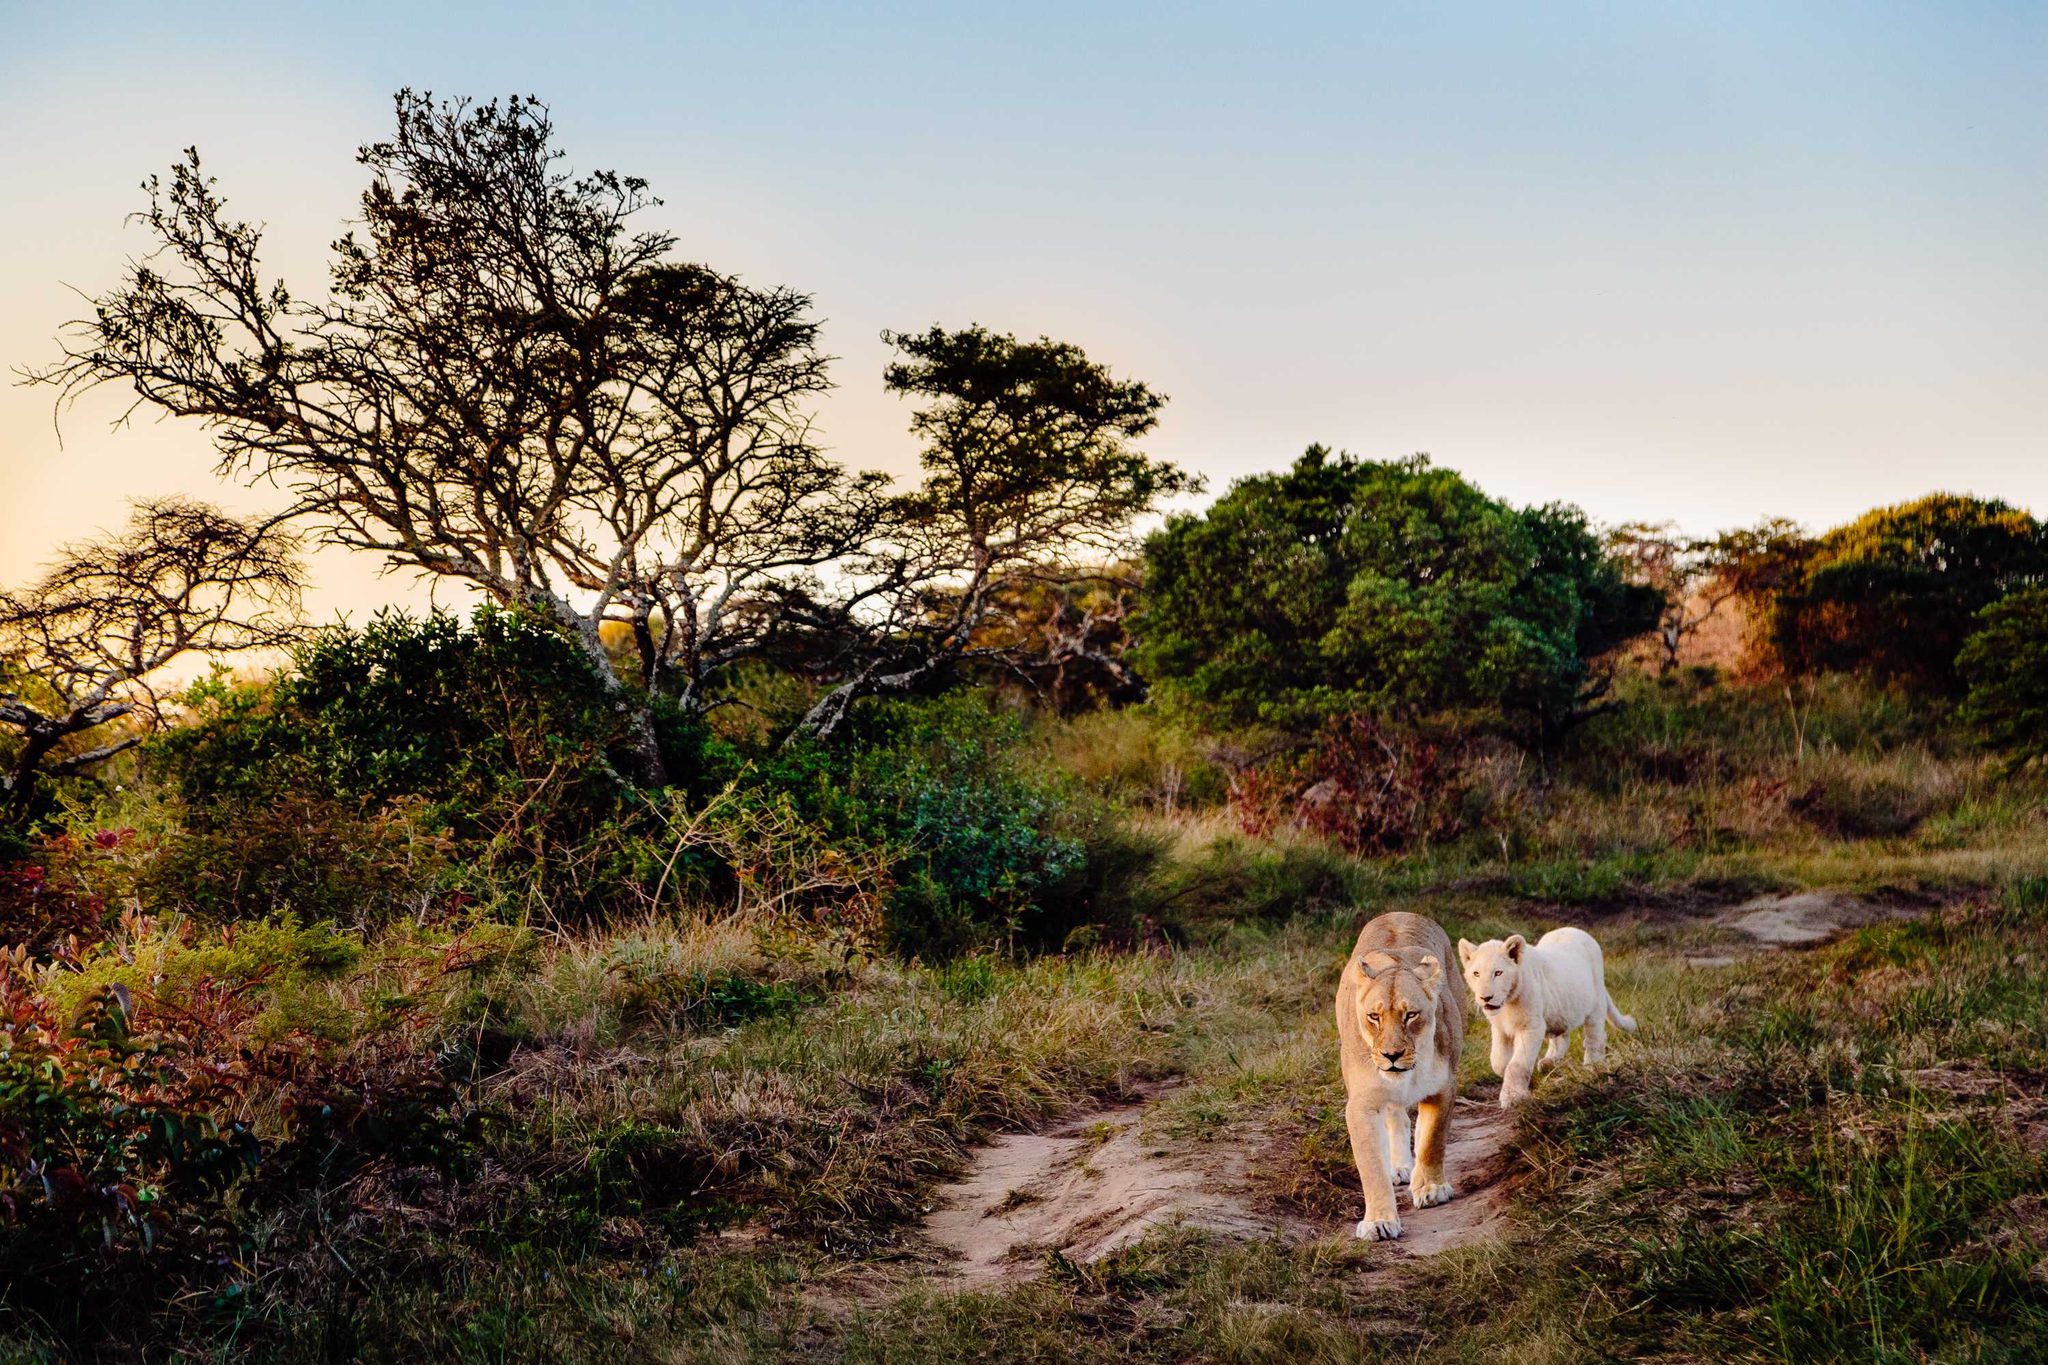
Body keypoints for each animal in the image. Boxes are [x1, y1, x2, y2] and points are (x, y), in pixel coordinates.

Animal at [1334, 910, 1464, 1241]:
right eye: (1374, 1017)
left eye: (1411, 1015)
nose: (1391, 1055)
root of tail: (1400, 913)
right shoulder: (1362, 1104)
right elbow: (1371, 1166)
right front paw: (1379, 1221)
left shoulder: (1443, 1088)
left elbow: (1433, 1140)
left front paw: (1431, 1188)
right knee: (1396, 1116)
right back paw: (1399, 1168)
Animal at [1457, 927, 1636, 1108]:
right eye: (1476, 973)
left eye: (1498, 973)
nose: (1485, 998)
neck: (1507, 1003)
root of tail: (1577, 930)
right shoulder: (1500, 1028)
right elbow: (1498, 1061)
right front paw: (1509, 1077)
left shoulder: (1531, 1027)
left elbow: (1517, 1065)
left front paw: (1513, 1097)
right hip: (1559, 1011)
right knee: (1562, 1037)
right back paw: (1548, 1063)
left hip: (1596, 1003)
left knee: (1595, 1036)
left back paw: (1593, 1066)